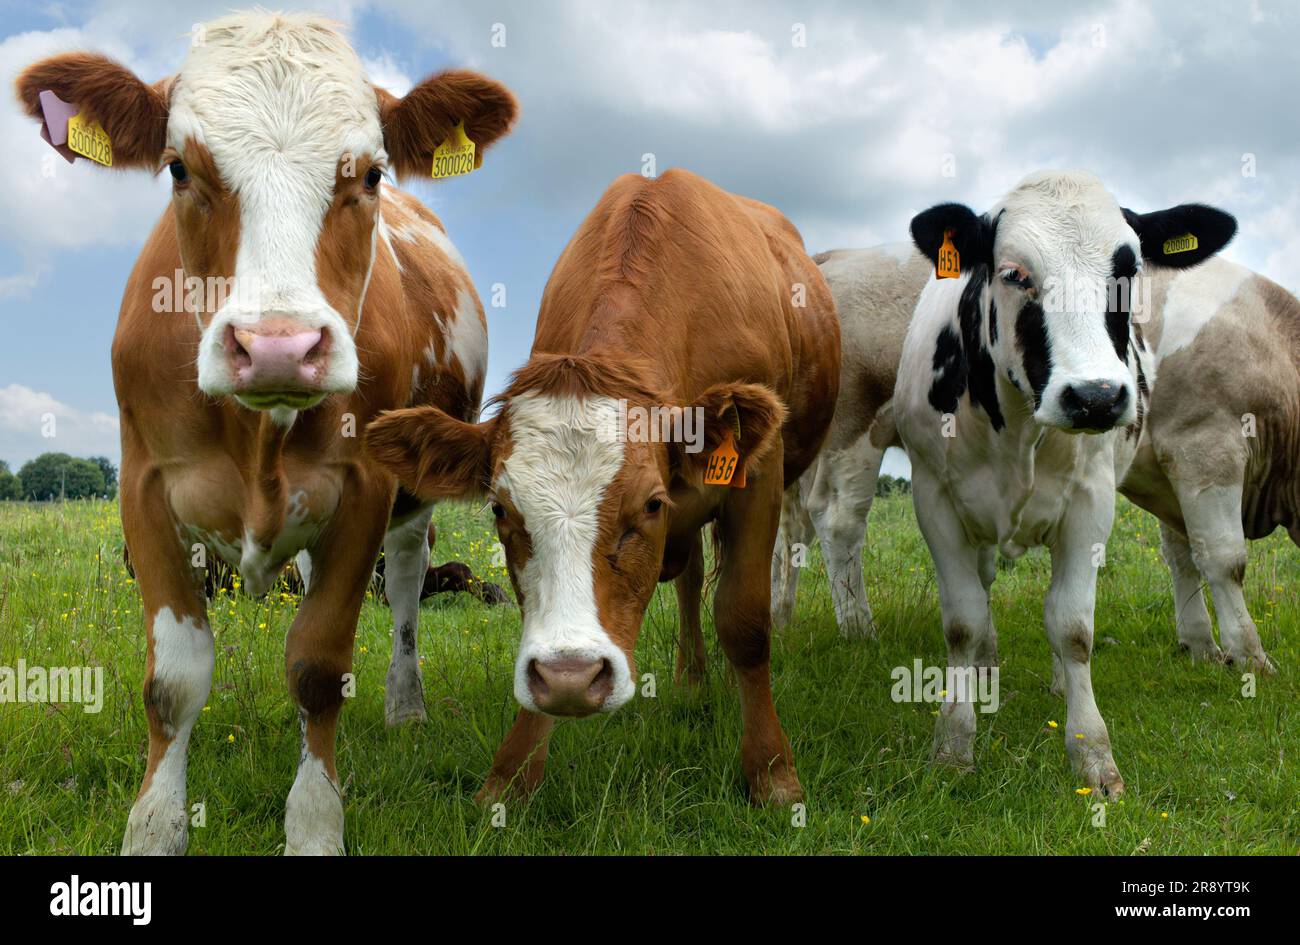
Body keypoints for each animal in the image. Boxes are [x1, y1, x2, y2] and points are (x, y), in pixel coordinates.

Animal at [17, 11, 517, 857]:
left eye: (372, 174)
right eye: (179, 168)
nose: (279, 346)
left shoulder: (364, 488)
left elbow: (317, 665)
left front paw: (315, 826)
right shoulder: (143, 487)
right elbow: (172, 680)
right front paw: (153, 828)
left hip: (409, 500)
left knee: (406, 584)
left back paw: (406, 705)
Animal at [364, 167, 842, 805]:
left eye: (650, 503)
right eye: (499, 510)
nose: (572, 678)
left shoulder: (758, 477)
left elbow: (744, 621)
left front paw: (772, 772)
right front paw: (511, 776)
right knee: (690, 580)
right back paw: (692, 680)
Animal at [899, 171, 1232, 800]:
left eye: (1129, 270)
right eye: (1013, 273)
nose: (1095, 397)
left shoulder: (1090, 502)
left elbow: (1073, 626)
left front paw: (1092, 754)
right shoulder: (934, 498)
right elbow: (962, 621)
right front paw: (953, 744)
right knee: (983, 589)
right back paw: (987, 668)